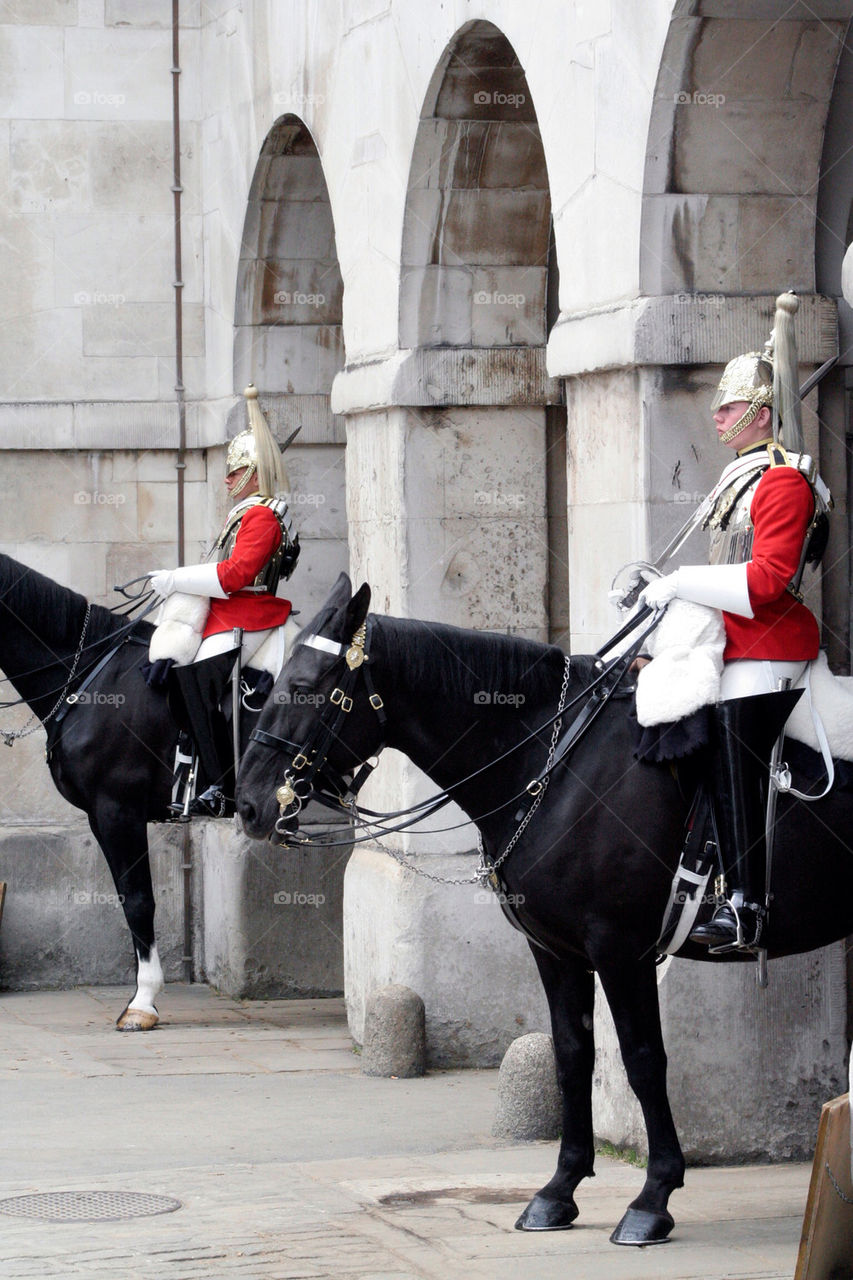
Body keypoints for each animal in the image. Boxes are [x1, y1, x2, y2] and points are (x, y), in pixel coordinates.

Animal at [0, 552, 289, 1031]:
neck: (87, 675)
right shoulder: (102, 818)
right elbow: (126, 898)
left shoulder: (118, 811)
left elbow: (138, 901)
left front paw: (143, 1001)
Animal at [235, 573, 853, 1246]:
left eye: (302, 686)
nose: (248, 806)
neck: (553, 761)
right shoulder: (556, 950)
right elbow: (571, 1055)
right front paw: (560, 1189)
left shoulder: (620, 949)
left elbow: (642, 1060)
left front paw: (653, 1197)